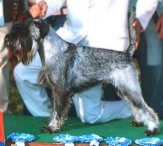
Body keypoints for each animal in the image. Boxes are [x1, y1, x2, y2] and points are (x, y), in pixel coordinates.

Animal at [4, 9, 159, 136]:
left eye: (24, 31)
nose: (6, 40)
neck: (52, 50)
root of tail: (128, 54)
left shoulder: (60, 92)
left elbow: (58, 111)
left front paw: (52, 128)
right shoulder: (55, 91)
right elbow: (54, 111)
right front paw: (49, 125)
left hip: (130, 88)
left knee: (147, 109)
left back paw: (152, 129)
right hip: (123, 89)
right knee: (135, 106)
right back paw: (138, 121)